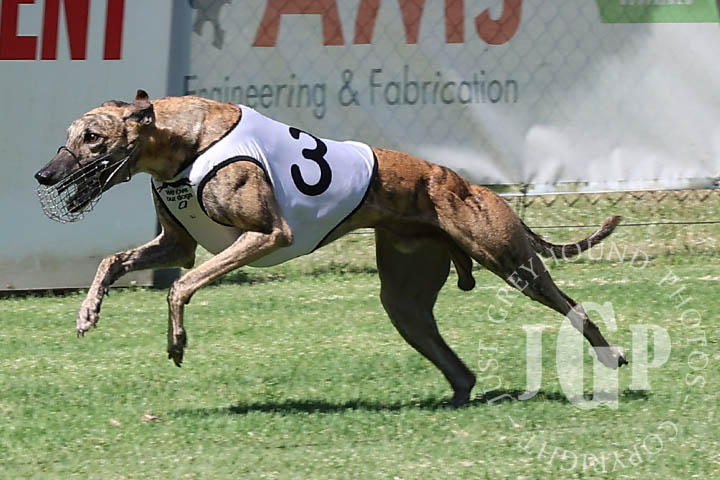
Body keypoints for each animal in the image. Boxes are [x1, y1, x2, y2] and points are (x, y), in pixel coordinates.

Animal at [35, 90, 627, 406]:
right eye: (69, 135)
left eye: (91, 137)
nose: (43, 176)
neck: (185, 143)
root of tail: (466, 183)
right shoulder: (173, 243)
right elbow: (114, 261)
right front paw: (88, 312)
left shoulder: (266, 234)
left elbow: (180, 286)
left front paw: (176, 340)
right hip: (406, 298)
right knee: (454, 362)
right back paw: (456, 397)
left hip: (510, 261)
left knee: (574, 307)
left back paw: (612, 356)